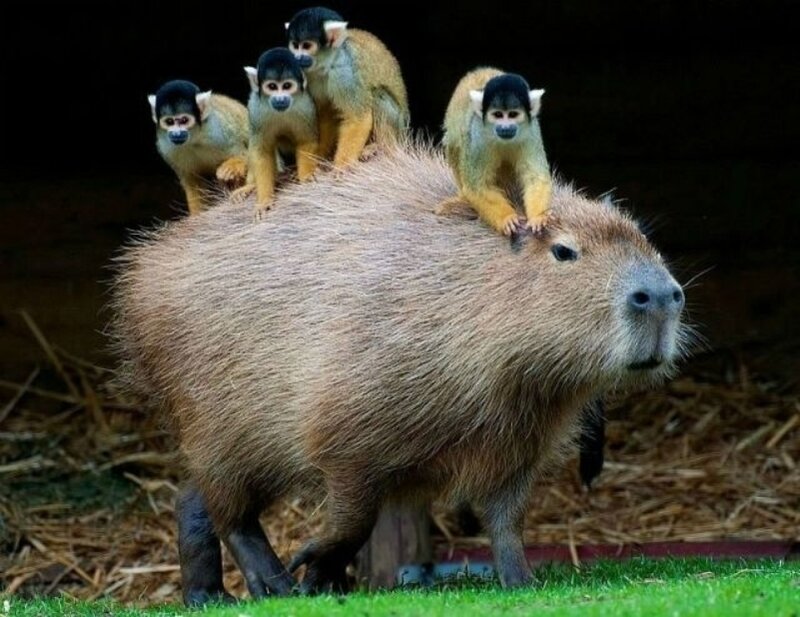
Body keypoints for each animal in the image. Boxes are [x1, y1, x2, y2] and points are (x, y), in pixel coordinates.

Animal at [148, 80, 249, 214]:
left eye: (184, 120)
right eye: (169, 122)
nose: (176, 133)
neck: (193, 138)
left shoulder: (218, 131)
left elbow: (246, 152)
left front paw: (232, 166)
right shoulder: (166, 148)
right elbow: (192, 182)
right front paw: (196, 215)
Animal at [242, 48, 320, 217]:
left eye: (286, 86)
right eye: (272, 86)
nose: (280, 99)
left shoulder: (306, 106)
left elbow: (306, 141)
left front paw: (306, 176)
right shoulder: (256, 109)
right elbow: (261, 151)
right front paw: (264, 200)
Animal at [285, 7, 409, 169]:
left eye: (306, 46)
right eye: (295, 45)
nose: (297, 58)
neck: (327, 63)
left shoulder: (345, 72)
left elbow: (358, 118)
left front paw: (341, 168)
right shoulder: (308, 75)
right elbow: (327, 114)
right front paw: (318, 156)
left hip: (399, 128)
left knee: (377, 95)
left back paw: (382, 146)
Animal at [438, 68, 552, 236]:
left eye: (513, 114)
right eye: (498, 115)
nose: (505, 127)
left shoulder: (532, 132)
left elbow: (535, 177)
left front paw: (538, 217)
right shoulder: (477, 135)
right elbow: (478, 186)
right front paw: (507, 218)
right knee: (455, 143)